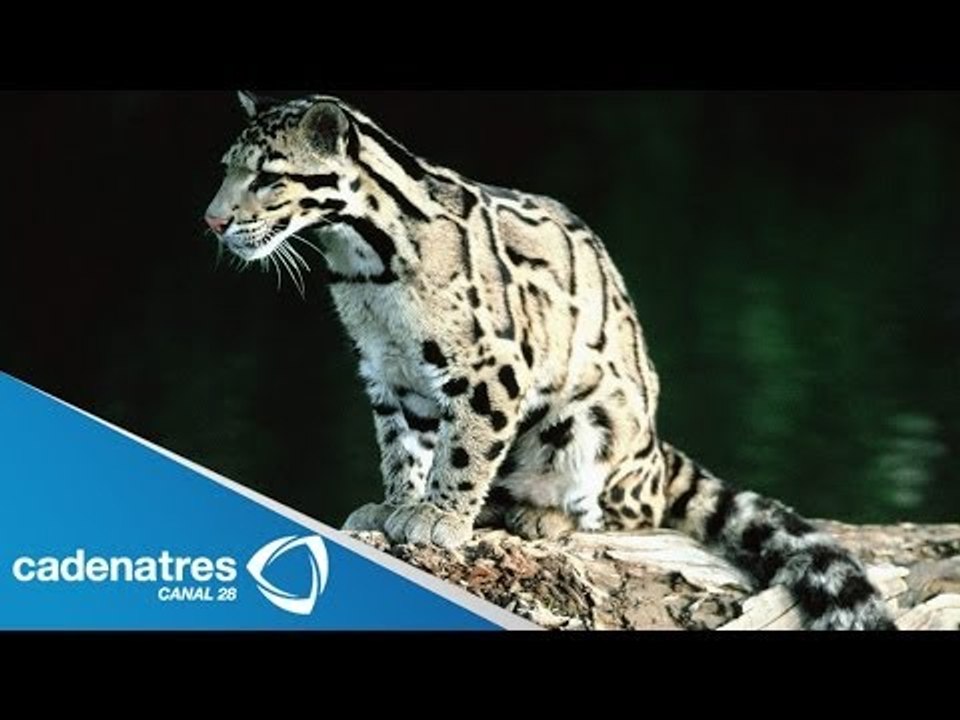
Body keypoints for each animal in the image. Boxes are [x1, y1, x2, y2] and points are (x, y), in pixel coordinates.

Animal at [205, 91, 895, 630]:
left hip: (587, 424)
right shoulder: (388, 371)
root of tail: (657, 452)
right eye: (226, 170)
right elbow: (402, 447)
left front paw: (438, 517)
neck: (364, 263)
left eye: (267, 177)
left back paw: (541, 515)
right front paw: (395, 504)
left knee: (616, 511)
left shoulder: (491, 365)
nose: (212, 221)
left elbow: (463, 450)